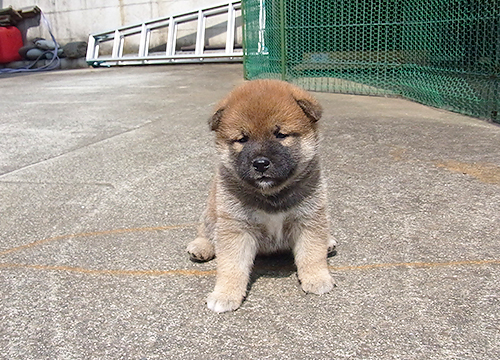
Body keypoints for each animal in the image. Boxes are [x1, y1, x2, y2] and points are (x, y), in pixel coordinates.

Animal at [188, 79, 336, 312]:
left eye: (280, 135)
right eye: (242, 139)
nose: (260, 164)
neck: (271, 195)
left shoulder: (309, 219)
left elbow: (312, 254)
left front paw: (317, 278)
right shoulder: (236, 227)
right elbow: (231, 266)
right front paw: (225, 294)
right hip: (213, 210)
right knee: (206, 230)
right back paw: (200, 247)